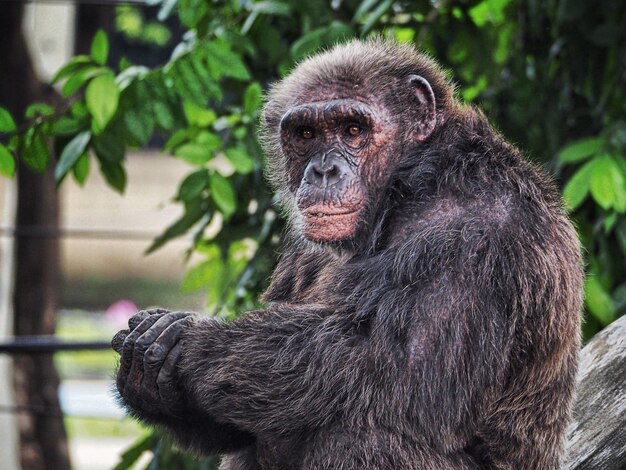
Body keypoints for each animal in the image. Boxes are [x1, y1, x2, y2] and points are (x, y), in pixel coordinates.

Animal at [111, 40, 580, 470]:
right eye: (306, 134)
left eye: (353, 129)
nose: (323, 170)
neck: (408, 184)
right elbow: (235, 429)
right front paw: (152, 374)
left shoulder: (477, 234)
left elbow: (399, 373)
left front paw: (185, 337)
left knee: (363, 435)